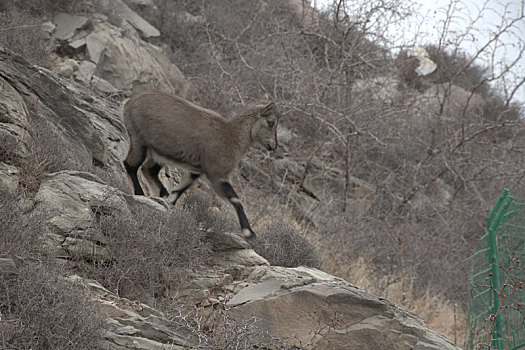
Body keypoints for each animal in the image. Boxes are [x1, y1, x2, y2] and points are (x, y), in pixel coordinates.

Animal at [123, 91, 280, 241]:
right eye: (270, 122)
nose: (274, 146)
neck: (233, 137)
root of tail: (128, 103)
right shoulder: (216, 174)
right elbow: (235, 200)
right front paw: (250, 233)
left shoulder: (196, 171)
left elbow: (179, 190)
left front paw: (170, 204)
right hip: (139, 141)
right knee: (131, 165)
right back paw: (139, 193)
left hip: (156, 154)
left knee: (148, 170)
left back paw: (162, 194)